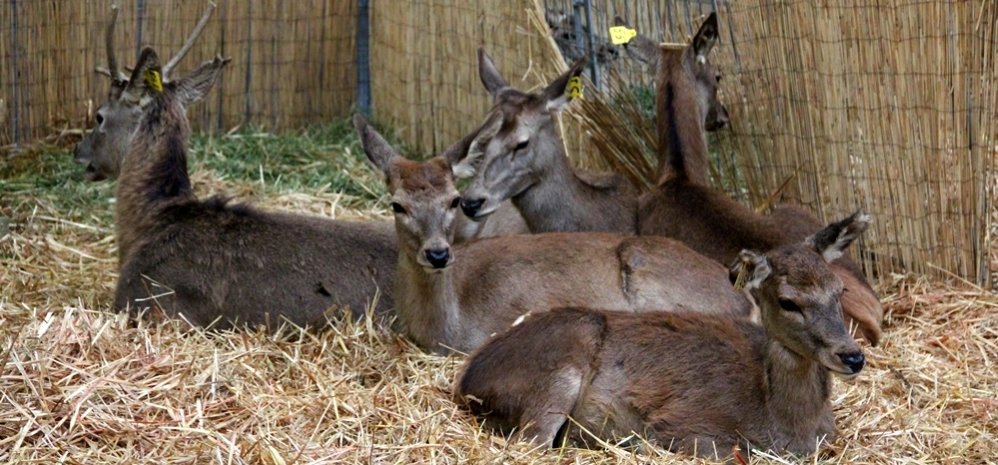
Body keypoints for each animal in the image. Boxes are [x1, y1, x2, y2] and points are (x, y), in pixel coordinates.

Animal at [458, 212, 872, 458]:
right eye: (788, 302)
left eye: (839, 290)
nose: (852, 355)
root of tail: (466, 380)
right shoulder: (685, 425)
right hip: (559, 369)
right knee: (532, 444)